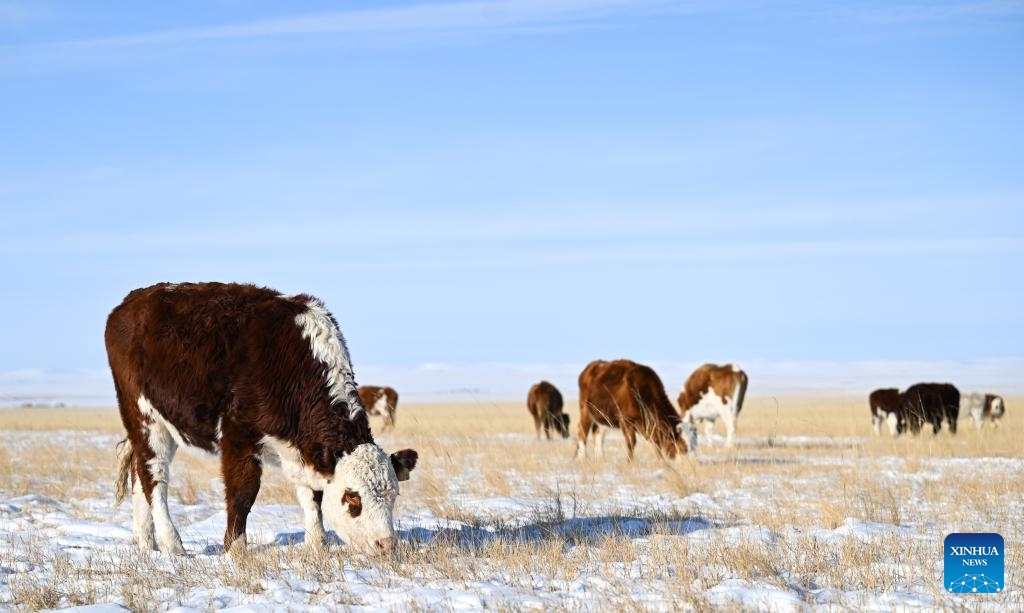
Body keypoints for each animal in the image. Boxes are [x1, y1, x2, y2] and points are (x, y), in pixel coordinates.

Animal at [105, 282, 417, 556]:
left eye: (394, 495)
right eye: (353, 496)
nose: (386, 545)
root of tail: (133, 300)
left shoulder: (304, 451)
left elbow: (313, 498)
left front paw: (318, 547)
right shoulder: (238, 436)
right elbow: (242, 494)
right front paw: (235, 550)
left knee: (139, 472)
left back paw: (145, 543)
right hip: (145, 417)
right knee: (153, 476)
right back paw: (172, 545)